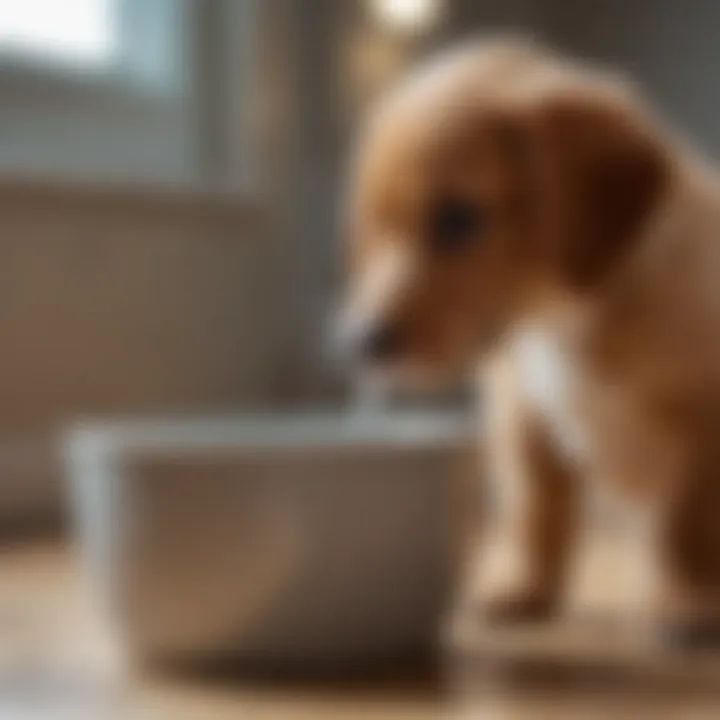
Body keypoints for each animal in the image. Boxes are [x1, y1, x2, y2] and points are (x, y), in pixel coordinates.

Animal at [338, 38, 720, 648]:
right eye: (373, 229)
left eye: (457, 219)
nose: (360, 342)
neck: (562, 321)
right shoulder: (522, 415)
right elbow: (535, 509)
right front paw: (518, 586)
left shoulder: (705, 417)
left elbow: (691, 523)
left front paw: (689, 598)